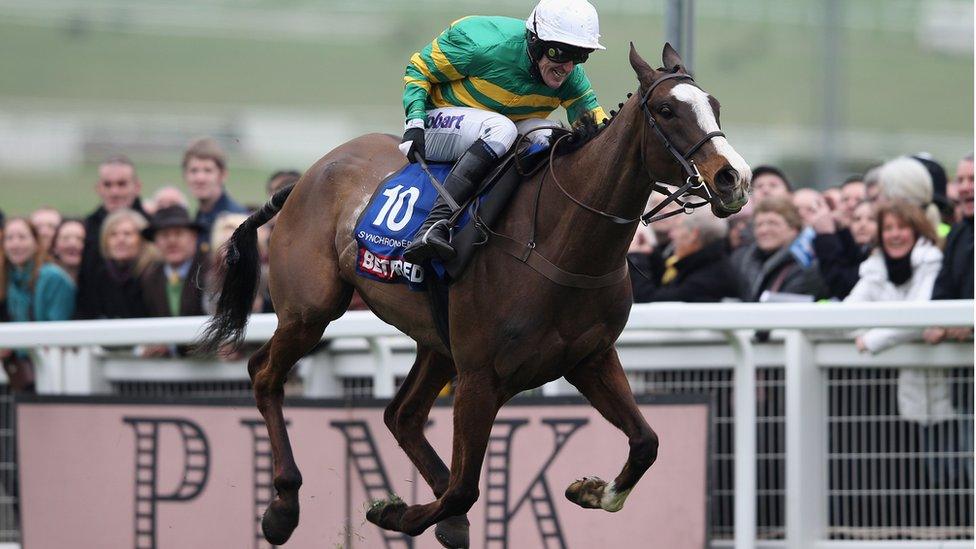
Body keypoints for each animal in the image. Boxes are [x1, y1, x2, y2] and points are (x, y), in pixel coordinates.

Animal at [196, 44, 748, 548]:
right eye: (667, 110)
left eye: (716, 105)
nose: (733, 177)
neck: (559, 243)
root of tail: (307, 176)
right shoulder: (482, 377)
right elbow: (466, 487)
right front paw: (393, 513)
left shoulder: (589, 358)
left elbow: (646, 443)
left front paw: (592, 490)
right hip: (311, 311)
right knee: (265, 374)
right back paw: (283, 506)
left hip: (437, 340)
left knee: (402, 416)